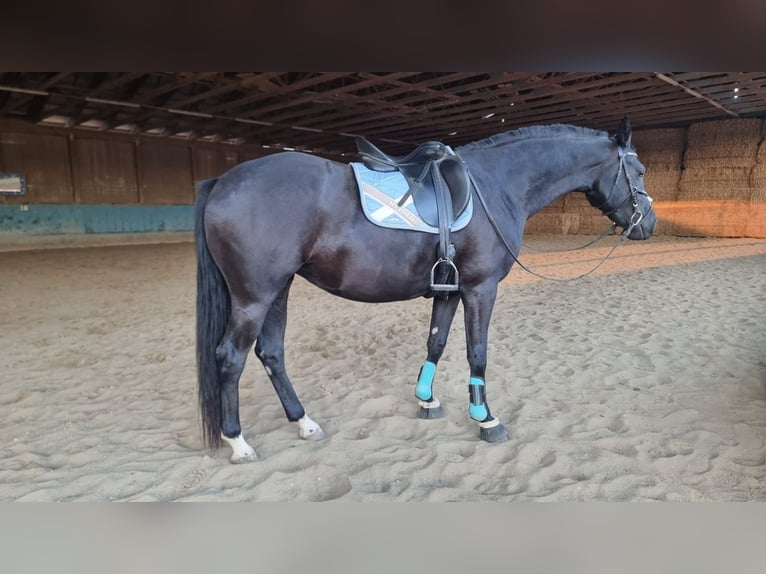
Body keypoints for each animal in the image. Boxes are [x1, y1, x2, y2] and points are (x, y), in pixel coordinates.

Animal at [195, 118, 656, 463]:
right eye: (638, 171)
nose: (648, 225)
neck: (495, 185)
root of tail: (222, 181)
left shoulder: (448, 290)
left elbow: (436, 342)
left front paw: (427, 401)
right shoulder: (480, 288)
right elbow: (477, 353)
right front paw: (485, 418)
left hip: (279, 290)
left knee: (271, 353)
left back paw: (304, 422)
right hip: (254, 297)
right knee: (231, 357)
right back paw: (239, 442)